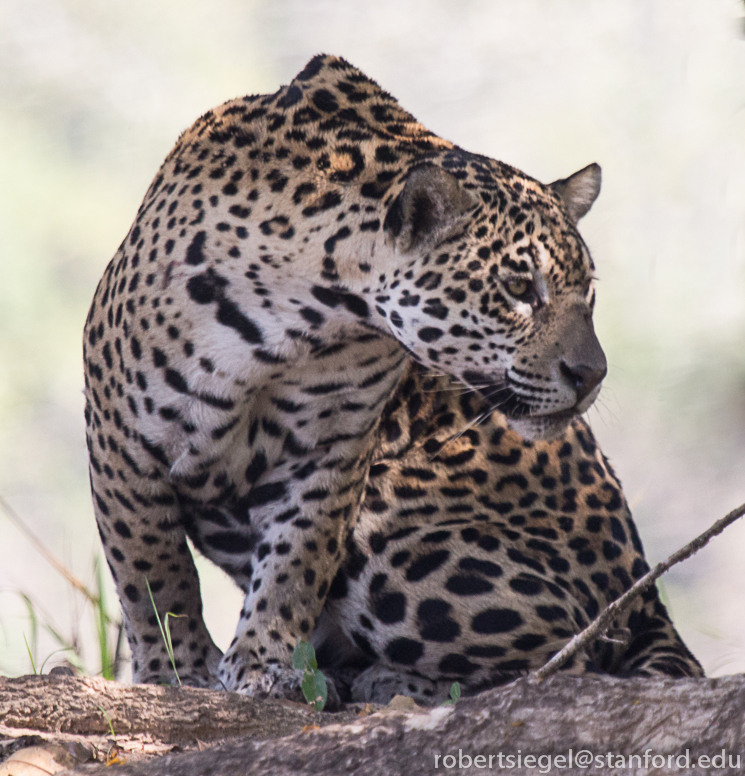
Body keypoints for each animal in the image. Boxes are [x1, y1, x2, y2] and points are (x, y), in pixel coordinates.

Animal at [82, 53, 702, 707]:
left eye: (587, 293)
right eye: (518, 288)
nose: (591, 375)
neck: (308, 320)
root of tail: (648, 599)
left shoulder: (332, 453)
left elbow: (295, 564)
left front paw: (262, 663)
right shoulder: (123, 440)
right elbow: (153, 574)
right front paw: (178, 670)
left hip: (396, 533)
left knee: (573, 658)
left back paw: (379, 680)